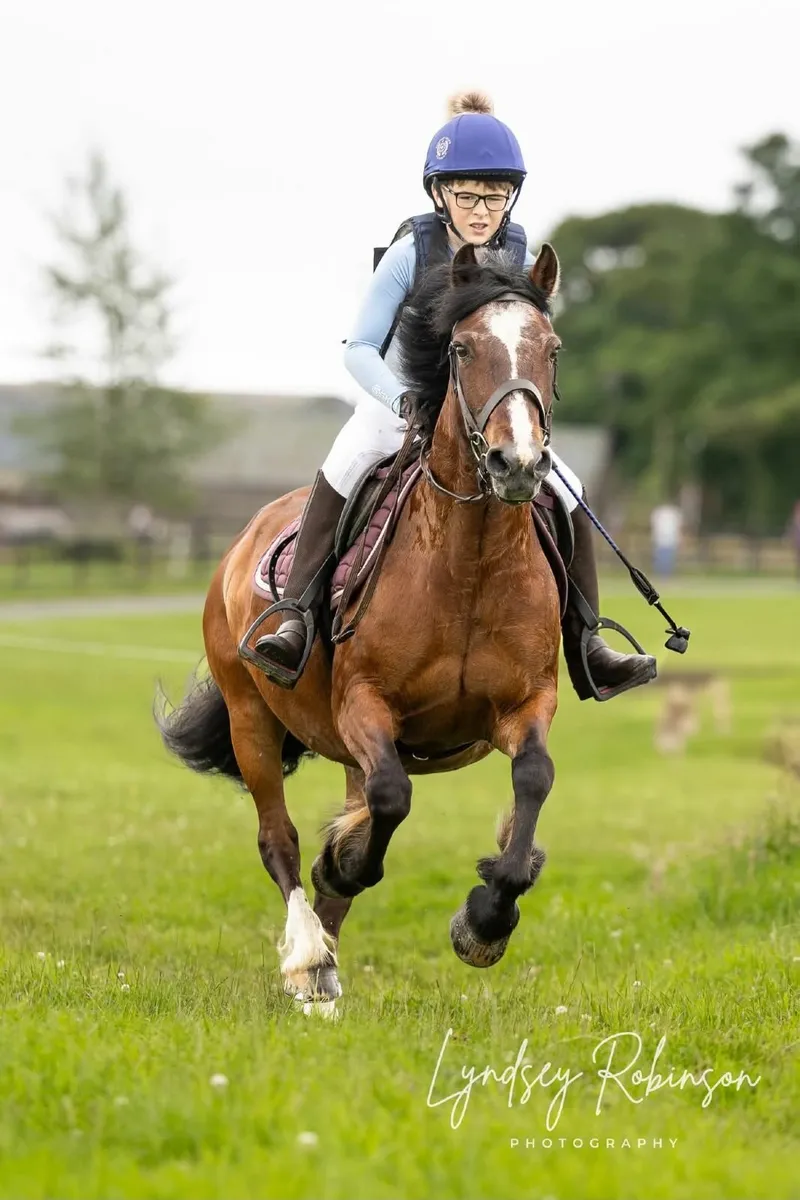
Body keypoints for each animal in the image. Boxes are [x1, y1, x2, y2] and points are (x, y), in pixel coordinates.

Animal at [159, 243, 565, 1013]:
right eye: (461, 348)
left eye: (552, 348)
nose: (517, 464)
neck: (469, 563)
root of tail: (244, 538)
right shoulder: (364, 704)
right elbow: (389, 801)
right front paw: (345, 868)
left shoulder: (526, 703)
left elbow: (532, 779)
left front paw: (486, 919)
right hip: (251, 717)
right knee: (279, 840)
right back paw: (309, 958)